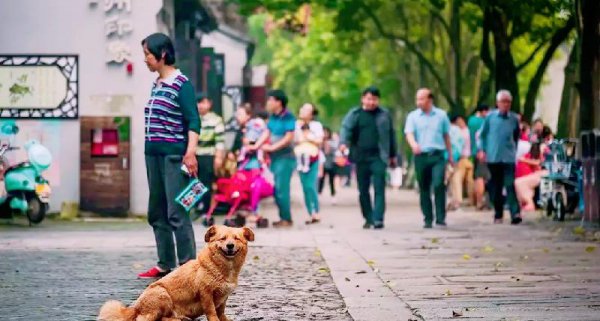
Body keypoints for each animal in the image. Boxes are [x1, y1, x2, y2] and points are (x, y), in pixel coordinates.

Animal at [98, 225, 255, 320]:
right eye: (222, 238)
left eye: (236, 238)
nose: (230, 246)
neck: (221, 267)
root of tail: (135, 308)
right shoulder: (206, 294)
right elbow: (211, 311)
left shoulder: (223, 297)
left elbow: (221, 311)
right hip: (162, 294)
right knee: (153, 319)